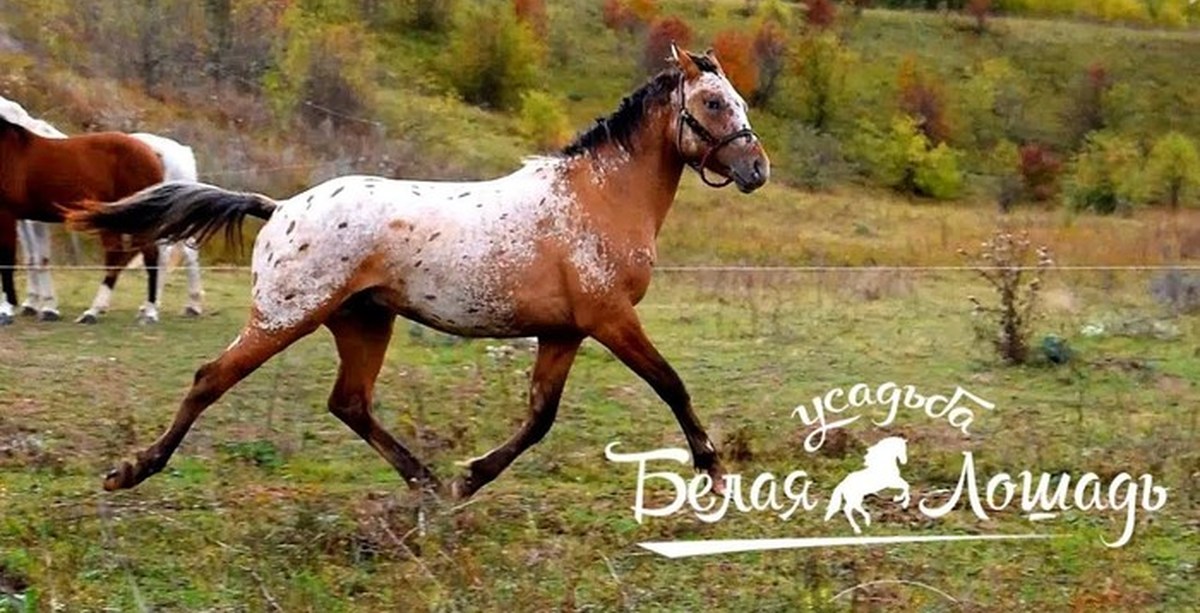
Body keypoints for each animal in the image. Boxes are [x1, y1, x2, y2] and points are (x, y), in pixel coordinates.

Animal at [1, 95, 205, 322]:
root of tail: (180, 151)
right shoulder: (22, 219)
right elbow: (31, 258)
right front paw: (31, 304)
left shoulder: (30, 219)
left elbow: (38, 258)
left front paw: (46, 308)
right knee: (176, 253)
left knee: (162, 254)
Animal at [67, 45, 770, 500]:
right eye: (713, 102)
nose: (756, 169)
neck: (596, 199)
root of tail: (280, 208)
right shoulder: (609, 318)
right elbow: (670, 383)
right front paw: (714, 471)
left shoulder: (564, 331)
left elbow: (540, 417)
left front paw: (468, 477)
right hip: (285, 317)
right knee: (210, 379)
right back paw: (130, 470)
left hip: (362, 322)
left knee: (349, 403)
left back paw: (427, 481)